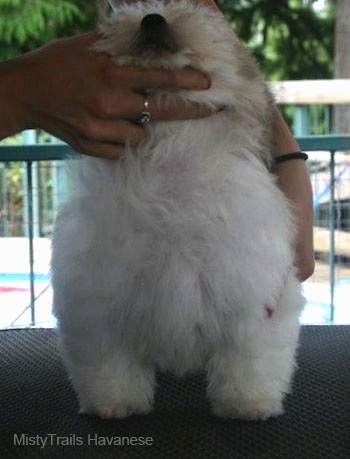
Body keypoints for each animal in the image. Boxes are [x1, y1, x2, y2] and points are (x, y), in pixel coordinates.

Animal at [50, 0, 304, 420]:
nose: (153, 18)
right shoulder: (98, 301)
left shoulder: (253, 298)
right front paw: (113, 403)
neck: (170, 161)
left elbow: (249, 359)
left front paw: (247, 403)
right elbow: (109, 364)